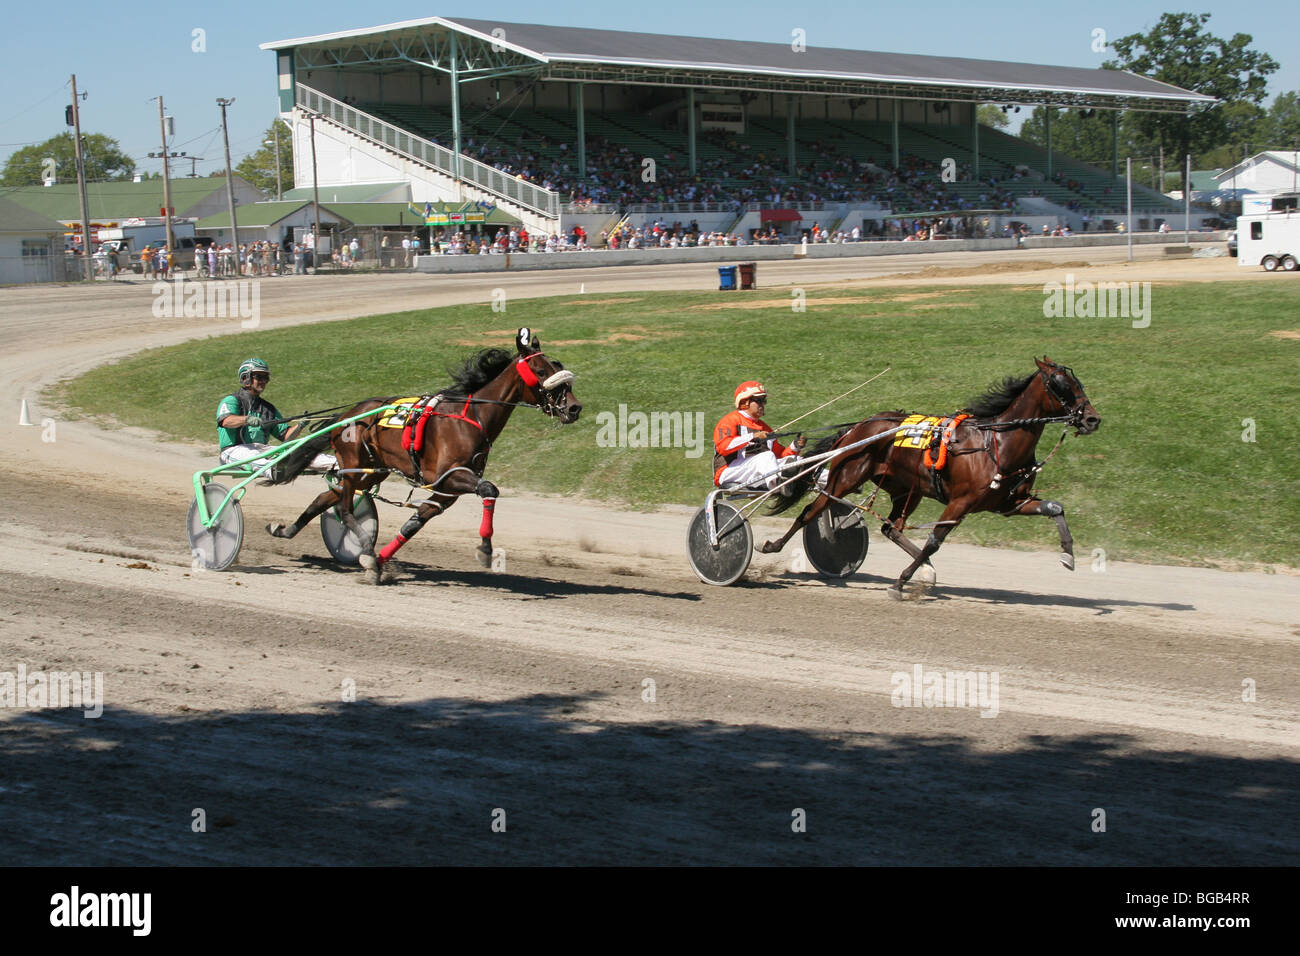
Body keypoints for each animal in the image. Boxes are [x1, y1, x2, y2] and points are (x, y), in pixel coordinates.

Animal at [261, 329, 582, 582]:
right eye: (541, 371)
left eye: (558, 365)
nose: (575, 408)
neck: (472, 418)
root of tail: (346, 415)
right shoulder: (450, 476)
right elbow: (490, 489)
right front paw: (485, 550)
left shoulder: (444, 491)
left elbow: (413, 523)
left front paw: (377, 564)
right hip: (354, 464)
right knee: (344, 507)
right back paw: (362, 543)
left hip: (370, 470)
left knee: (324, 499)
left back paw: (284, 530)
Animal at [764, 356, 1102, 598]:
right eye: (1062, 385)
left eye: (1079, 383)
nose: (1092, 419)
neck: (997, 443)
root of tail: (858, 427)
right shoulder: (959, 503)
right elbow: (934, 540)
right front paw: (900, 583)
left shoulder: (1010, 503)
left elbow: (1056, 508)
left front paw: (1069, 554)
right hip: (846, 477)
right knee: (811, 512)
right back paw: (772, 545)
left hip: (907, 490)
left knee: (890, 527)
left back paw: (926, 569)